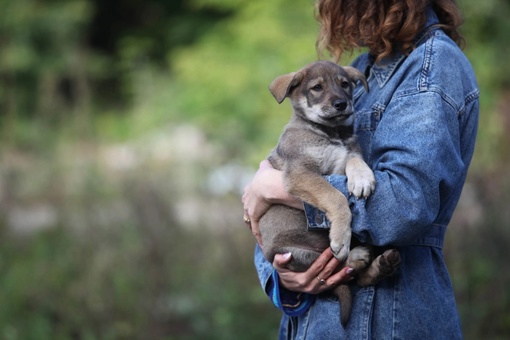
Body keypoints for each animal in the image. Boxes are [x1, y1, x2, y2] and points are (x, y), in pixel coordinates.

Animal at [260, 61, 400, 326]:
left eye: (344, 84)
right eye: (317, 88)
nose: (341, 104)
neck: (332, 134)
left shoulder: (347, 154)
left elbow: (354, 159)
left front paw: (362, 178)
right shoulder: (302, 174)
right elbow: (336, 197)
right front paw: (341, 237)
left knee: (355, 279)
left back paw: (381, 263)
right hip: (294, 253)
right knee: (338, 270)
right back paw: (356, 255)